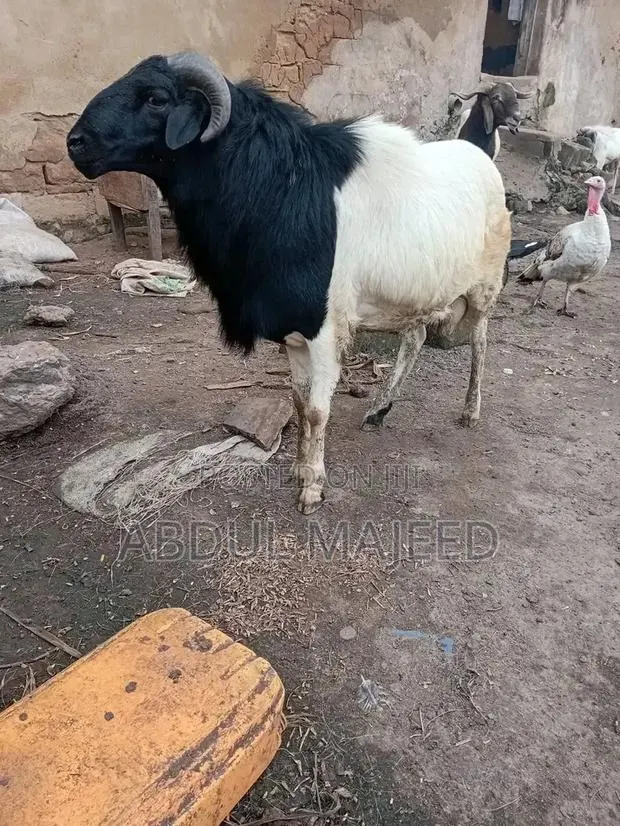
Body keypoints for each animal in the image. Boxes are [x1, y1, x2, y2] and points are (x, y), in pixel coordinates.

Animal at [67, 52, 511, 514]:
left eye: (156, 98)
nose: (75, 143)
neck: (281, 190)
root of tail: (480, 156)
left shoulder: (326, 329)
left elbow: (316, 410)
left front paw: (312, 487)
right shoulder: (294, 332)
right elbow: (298, 402)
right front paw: (300, 469)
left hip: (484, 287)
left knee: (480, 343)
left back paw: (469, 411)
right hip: (417, 295)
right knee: (417, 337)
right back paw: (379, 411)